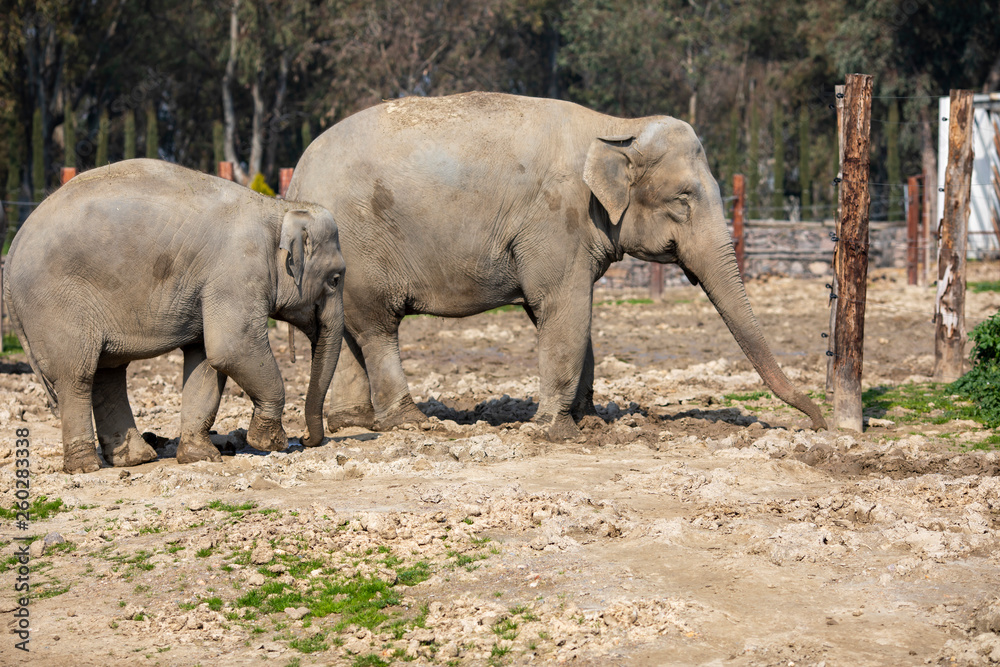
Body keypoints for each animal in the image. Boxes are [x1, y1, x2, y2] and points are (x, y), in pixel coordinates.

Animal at [4, 159, 345, 474]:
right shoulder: (237, 273)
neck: (279, 209)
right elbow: (232, 349)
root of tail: (13, 248)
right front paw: (271, 443)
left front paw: (200, 457)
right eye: (335, 279)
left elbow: (207, 360)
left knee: (107, 372)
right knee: (78, 375)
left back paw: (135, 458)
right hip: (55, 304)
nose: (305, 440)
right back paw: (86, 467)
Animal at [287, 92, 826, 440]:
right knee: (377, 328)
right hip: (359, 245)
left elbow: (569, 316)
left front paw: (590, 419)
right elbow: (563, 307)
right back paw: (412, 424)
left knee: (352, 330)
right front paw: (554, 430)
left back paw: (354, 422)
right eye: (683, 199)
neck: (614, 125)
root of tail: (296, 176)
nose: (819, 423)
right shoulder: (555, 218)